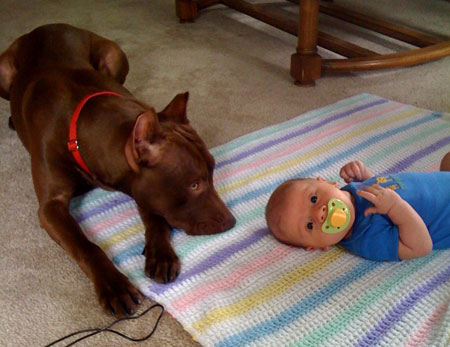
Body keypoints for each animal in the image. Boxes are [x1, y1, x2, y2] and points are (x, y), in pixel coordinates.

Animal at [0, 23, 237, 318]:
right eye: (194, 185)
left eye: (213, 171)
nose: (231, 221)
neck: (82, 127)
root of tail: (44, 27)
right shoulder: (51, 207)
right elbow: (85, 244)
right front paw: (113, 286)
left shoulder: (140, 186)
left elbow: (156, 216)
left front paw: (161, 253)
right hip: (3, 70)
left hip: (114, 54)